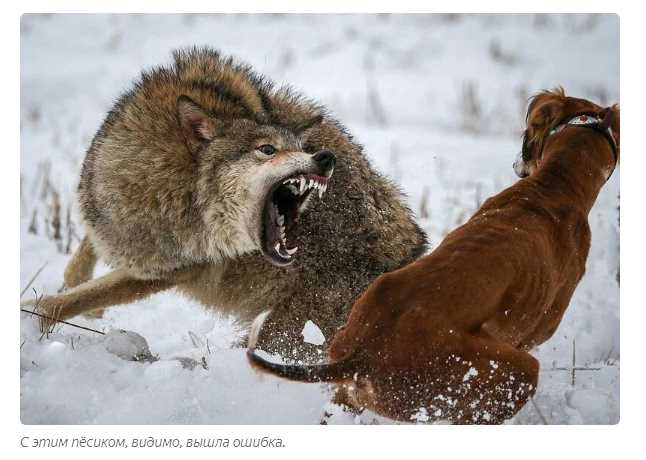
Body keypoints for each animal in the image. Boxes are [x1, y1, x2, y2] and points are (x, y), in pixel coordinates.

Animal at [25, 46, 428, 356]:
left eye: (301, 147)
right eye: (268, 150)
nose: (325, 158)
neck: (171, 191)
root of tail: (414, 255)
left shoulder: (164, 271)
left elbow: (77, 298)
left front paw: (29, 318)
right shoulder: (105, 212)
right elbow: (82, 260)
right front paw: (76, 295)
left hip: (285, 330)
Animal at [246, 89, 620, 424]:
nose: (518, 164)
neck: (552, 188)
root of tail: (364, 352)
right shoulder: (535, 332)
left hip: (351, 390)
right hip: (509, 373)